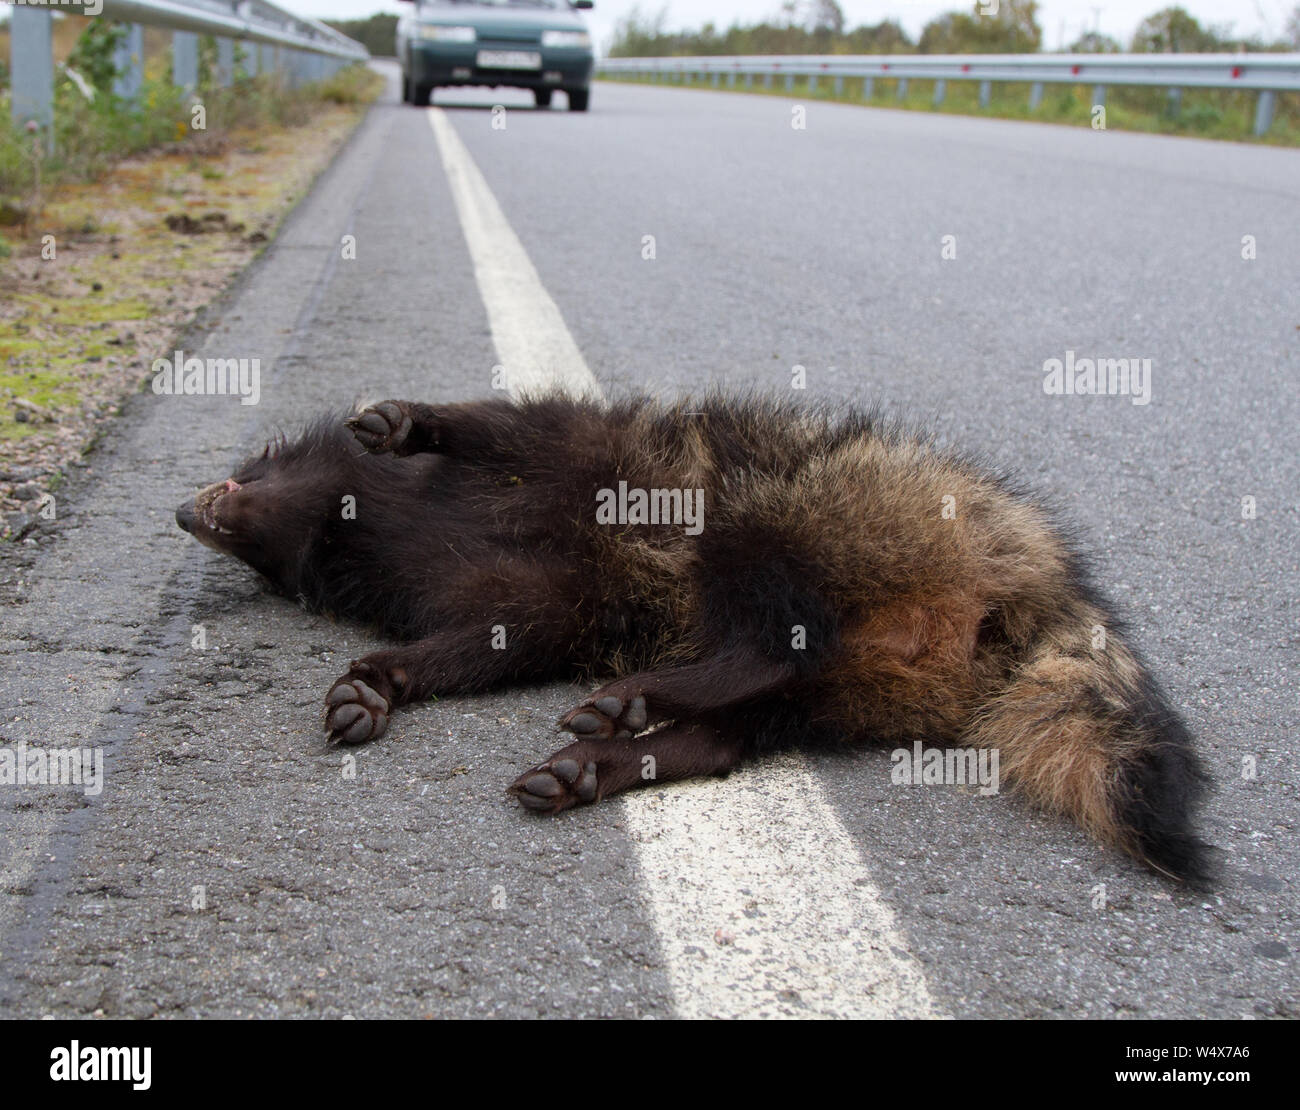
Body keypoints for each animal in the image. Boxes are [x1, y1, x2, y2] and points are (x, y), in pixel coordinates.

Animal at [178, 389, 1211, 889]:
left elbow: (498, 426)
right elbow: (486, 641)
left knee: (776, 625)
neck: (371, 525)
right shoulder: (527, 597)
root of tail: (1031, 565)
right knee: (747, 722)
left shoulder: (568, 452)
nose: (183, 512)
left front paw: (419, 418)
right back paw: (633, 742)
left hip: (815, 507)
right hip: (868, 681)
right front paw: (390, 676)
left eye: (249, 466)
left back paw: (660, 695)